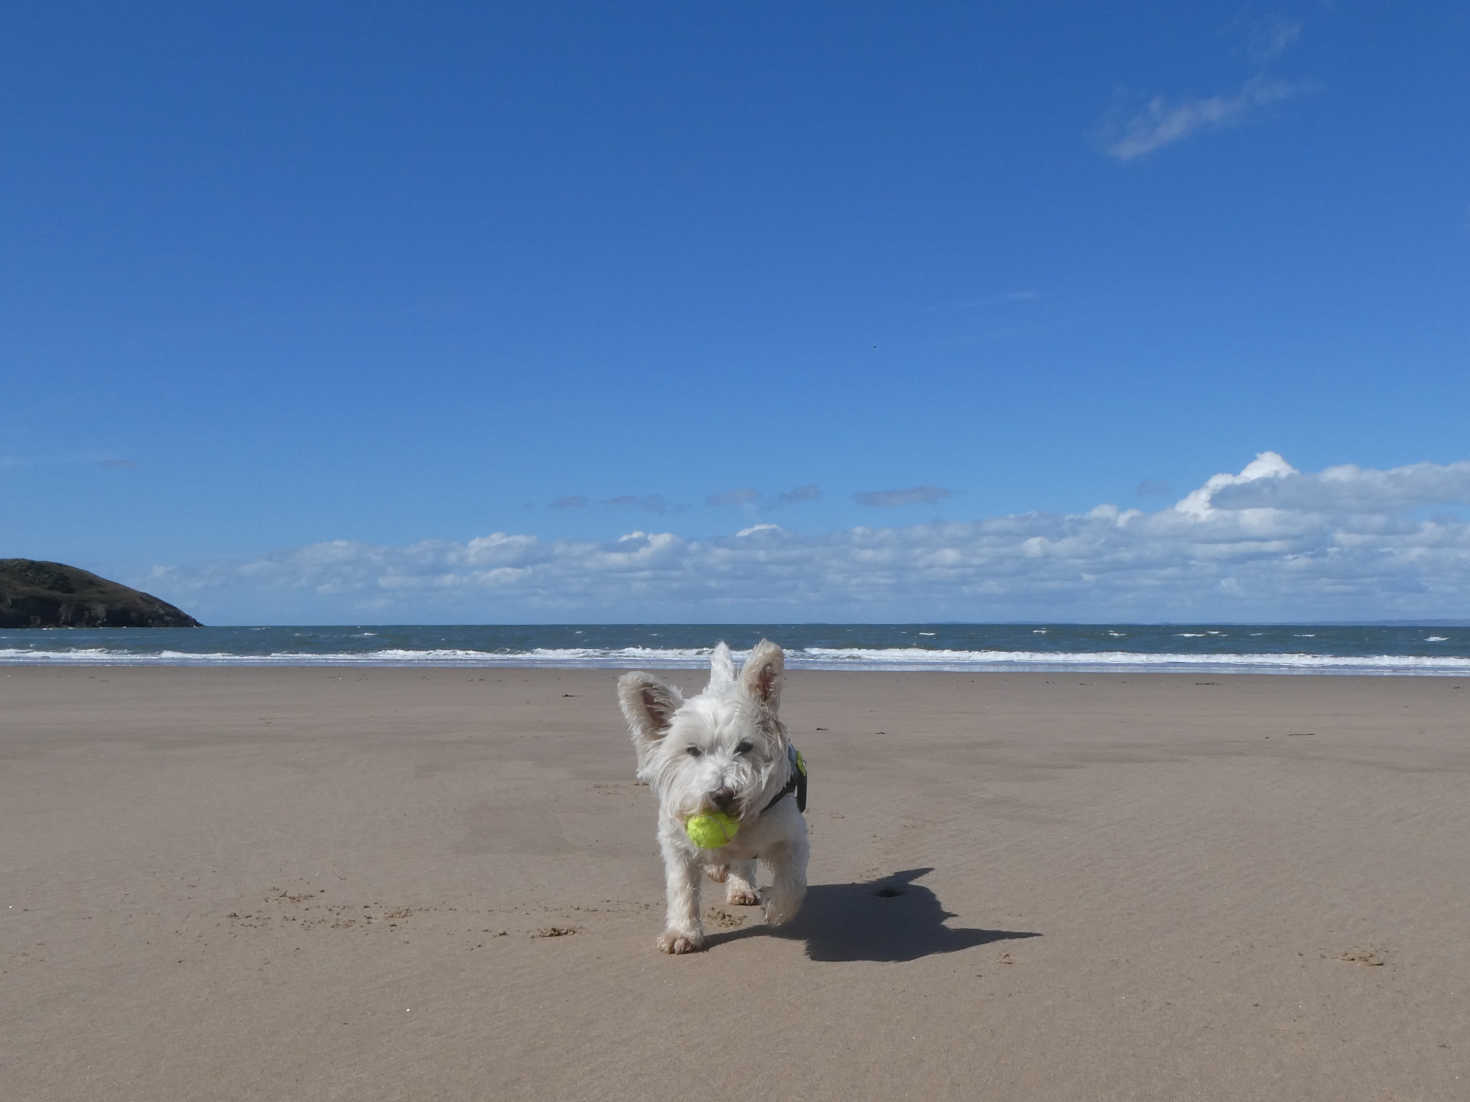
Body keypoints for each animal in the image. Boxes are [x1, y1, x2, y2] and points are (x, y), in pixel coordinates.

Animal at [617, 643, 811, 952]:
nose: (723, 795)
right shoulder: (676, 846)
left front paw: (775, 907)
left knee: (745, 864)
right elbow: (682, 888)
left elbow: (792, 884)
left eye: (744, 747)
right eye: (692, 750)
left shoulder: (792, 837)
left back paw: (741, 888)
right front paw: (683, 932)